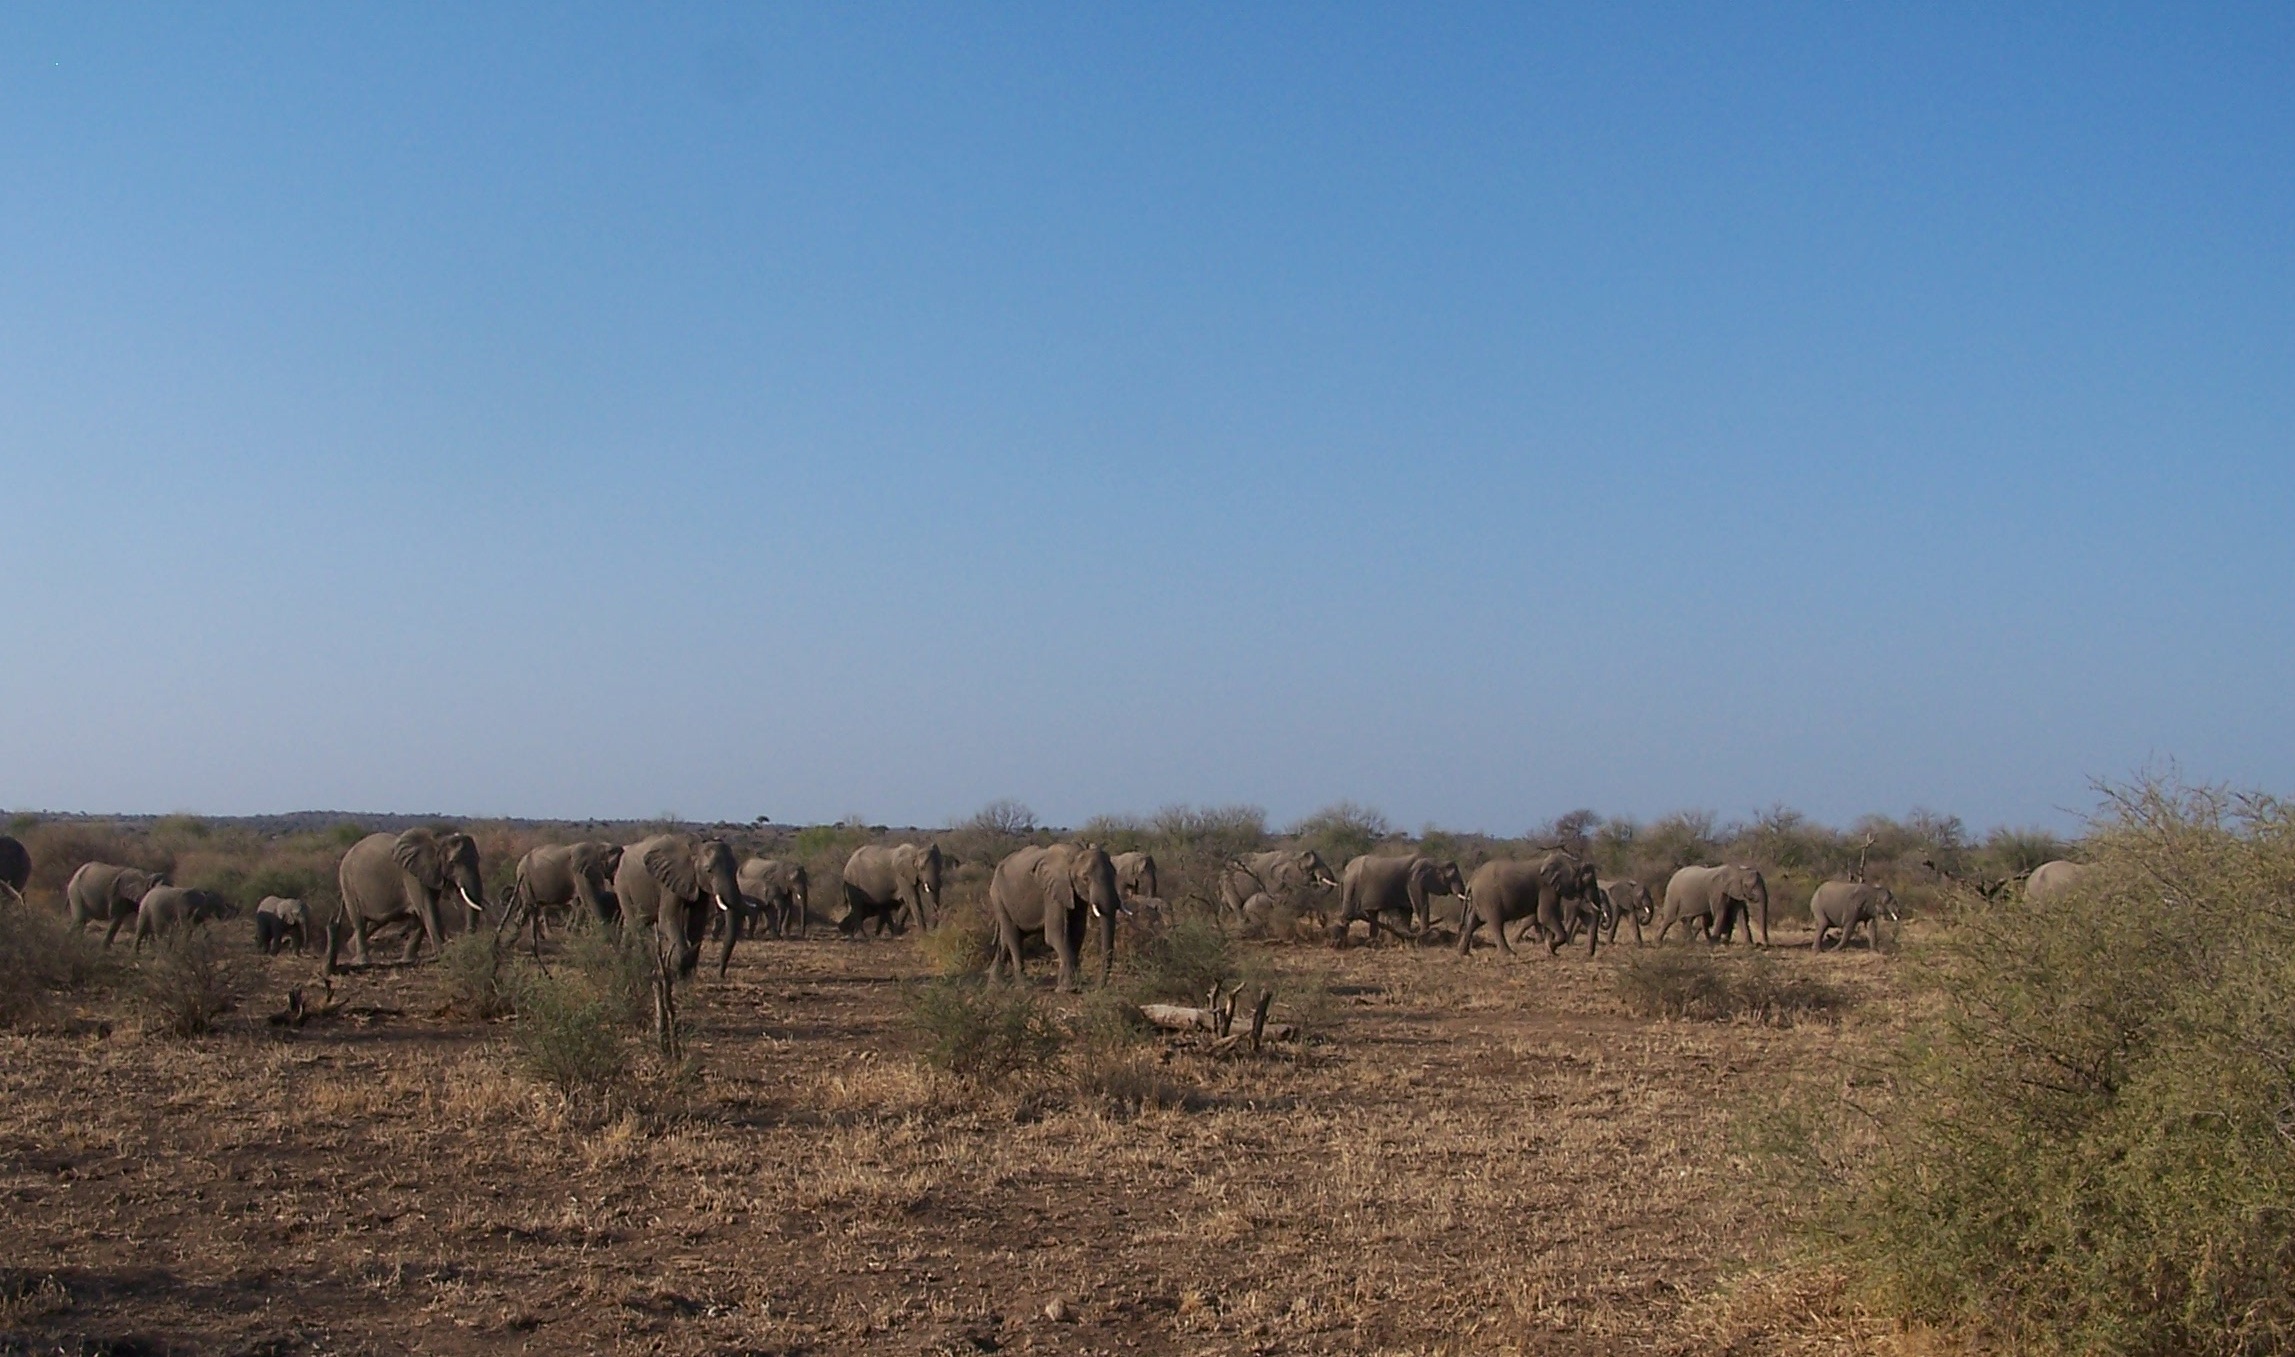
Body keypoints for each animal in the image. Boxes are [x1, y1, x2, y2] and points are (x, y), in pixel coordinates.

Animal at [325, 822, 486, 973]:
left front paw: (409, 960)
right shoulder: (411, 875)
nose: (468, 942)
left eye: (478, 860)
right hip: (347, 883)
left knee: (375, 922)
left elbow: (422, 914)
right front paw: (444, 953)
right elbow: (427, 908)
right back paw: (362, 961)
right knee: (359, 922)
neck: (438, 840)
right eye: (453, 862)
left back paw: (351, 948)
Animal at [615, 835, 738, 982]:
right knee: (636, 925)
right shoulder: (669, 881)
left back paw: (624, 962)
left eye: (736, 869)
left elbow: (697, 922)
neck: (697, 846)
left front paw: (688, 977)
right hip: (622, 886)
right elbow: (667, 920)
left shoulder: (698, 884)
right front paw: (678, 972)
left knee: (632, 925)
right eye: (709, 870)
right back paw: (643, 969)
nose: (721, 976)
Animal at [991, 844, 1124, 991]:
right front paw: (1068, 988)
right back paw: (1023, 986)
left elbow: (1077, 931)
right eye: (1085, 878)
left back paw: (997, 985)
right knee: (1012, 937)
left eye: (1115, 874)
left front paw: (1069, 986)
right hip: (998, 897)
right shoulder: (1052, 892)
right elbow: (1056, 934)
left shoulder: (1075, 894)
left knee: (1005, 939)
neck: (1075, 855)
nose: (1099, 986)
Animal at [1459, 854, 1606, 959]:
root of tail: (1471, 880)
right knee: (1495, 924)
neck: (1571, 861)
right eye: (1588, 878)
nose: (1588, 955)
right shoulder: (1547, 887)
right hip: (1489, 898)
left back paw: (1464, 953)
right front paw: (1551, 946)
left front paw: (1551, 952)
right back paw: (1510, 955)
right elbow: (1545, 916)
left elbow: (1549, 917)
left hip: (1479, 900)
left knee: (1473, 922)